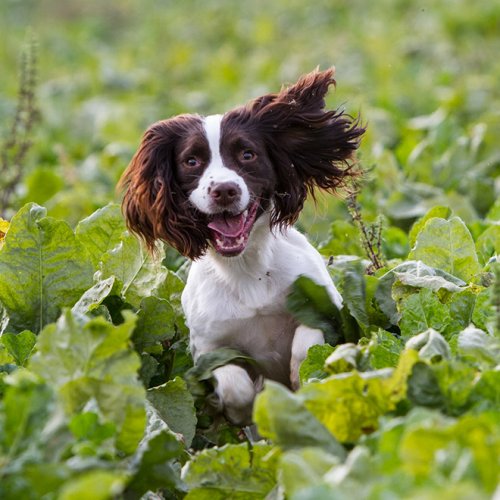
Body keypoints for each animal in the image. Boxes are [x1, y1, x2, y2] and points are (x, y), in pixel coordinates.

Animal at [120, 68, 364, 424]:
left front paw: (301, 381)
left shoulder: (325, 307)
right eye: (192, 161)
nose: (224, 190)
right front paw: (248, 411)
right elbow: (235, 384)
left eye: (247, 154)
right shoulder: (209, 348)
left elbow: (306, 346)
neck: (248, 268)